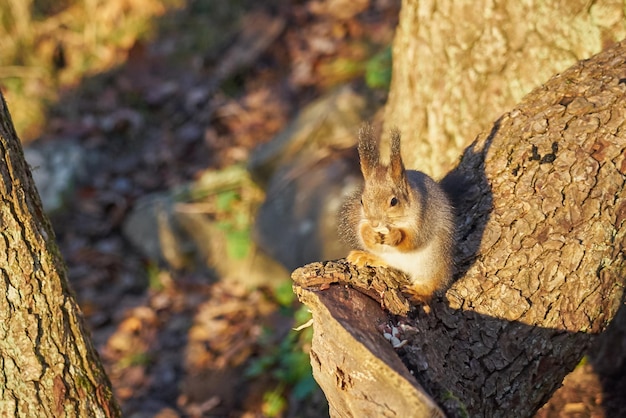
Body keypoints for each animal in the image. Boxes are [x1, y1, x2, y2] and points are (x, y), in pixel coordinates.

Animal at [338, 124, 450, 304]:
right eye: (362, 201)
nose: (375, 223)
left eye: (394, 201)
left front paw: (395, 236)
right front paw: (368, 234)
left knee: (430, 284)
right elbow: (362, 231)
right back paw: (366, 257)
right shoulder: (362, 219)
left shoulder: (425, 217)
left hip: (432, 264)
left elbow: (413, 240)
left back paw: (419, 292)